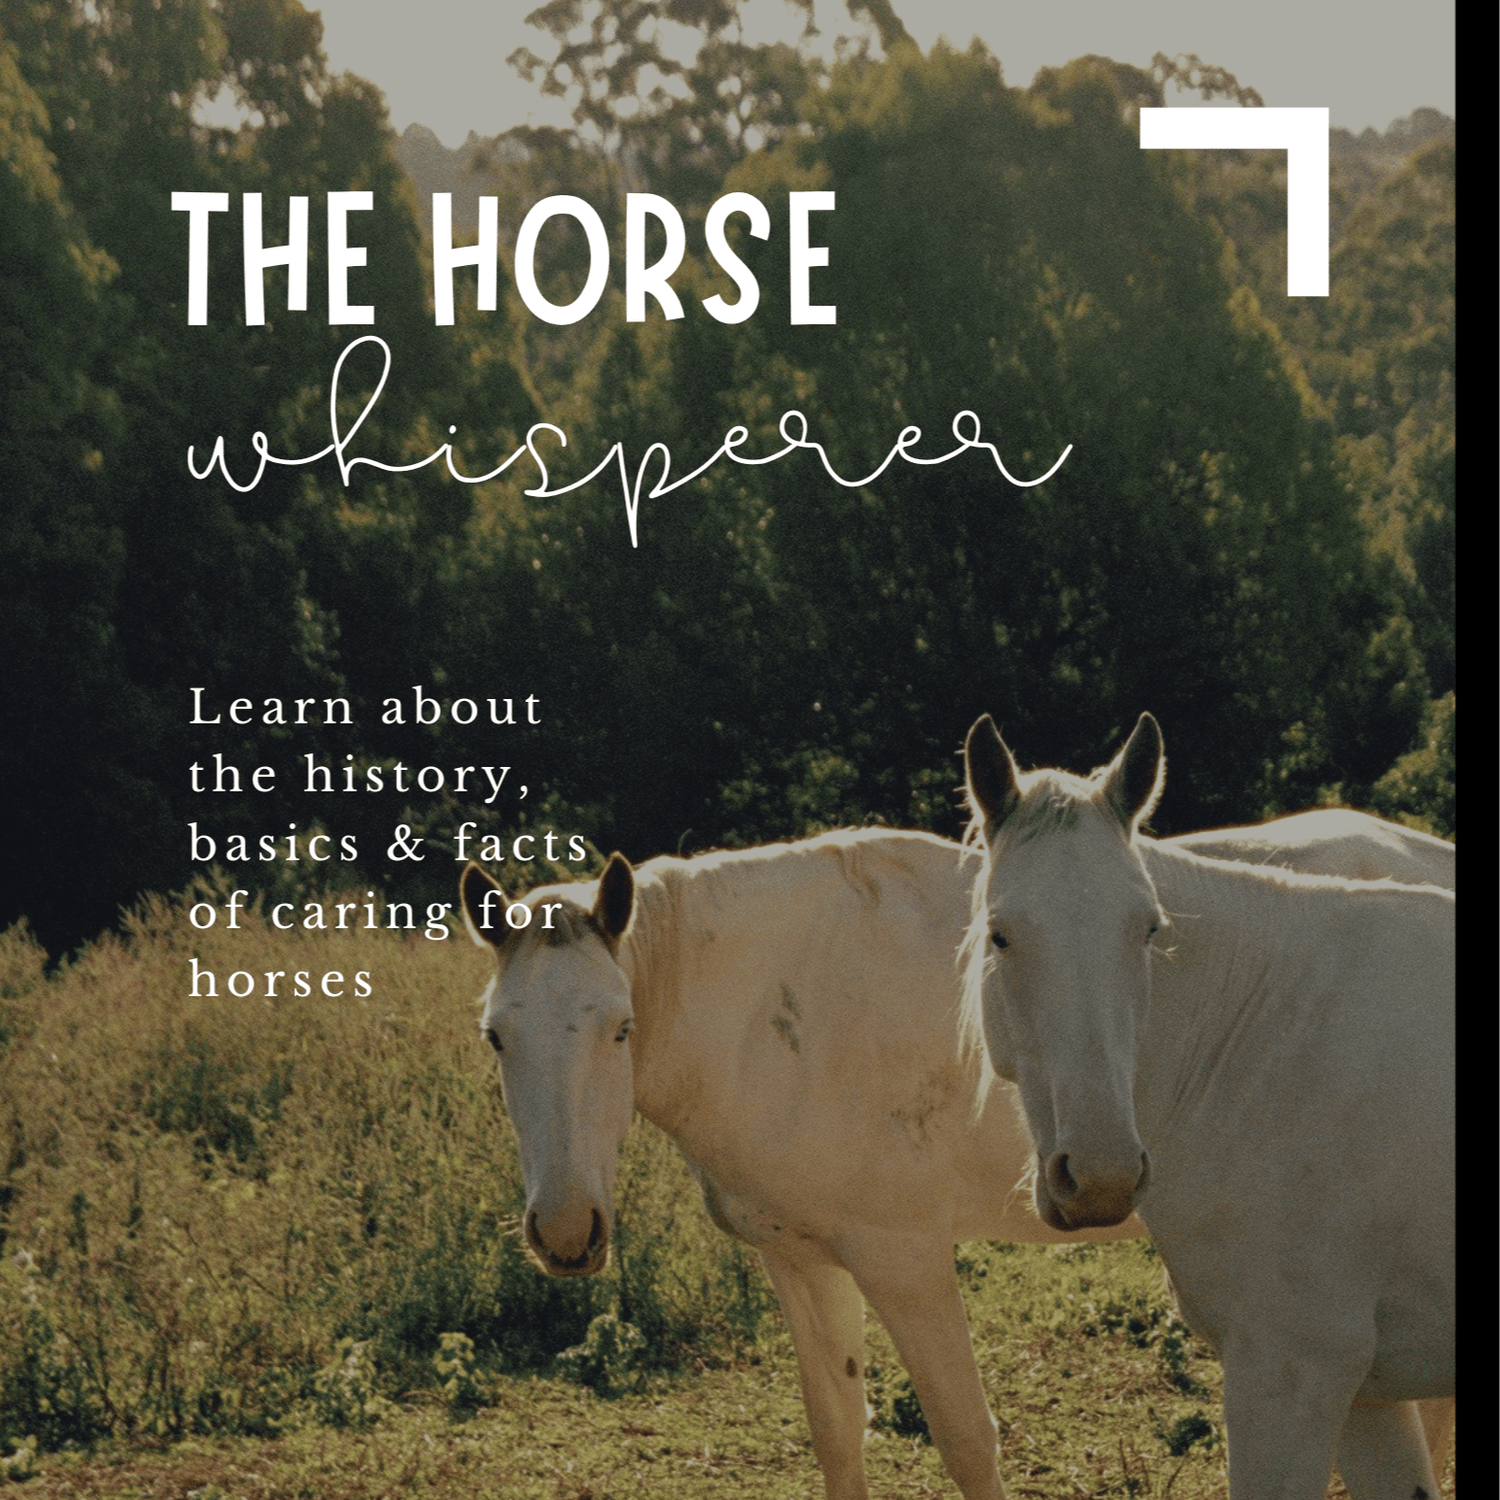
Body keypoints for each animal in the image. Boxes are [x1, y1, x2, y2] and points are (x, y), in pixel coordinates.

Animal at [459, 808, 1453, 1500]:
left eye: (619, 1029)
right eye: (495, 1037)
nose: (566, 1232)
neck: (773, 1015)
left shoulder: (904, 1260)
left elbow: (967, 1438)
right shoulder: (800, 1258)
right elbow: (839, 1431)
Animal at [962, 713, 1455, 1500]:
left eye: (1149, 929)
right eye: (1000, 934)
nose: (1101, 1178)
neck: (1268, 1044)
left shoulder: (1289, 1377)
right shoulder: (1368, 1397)